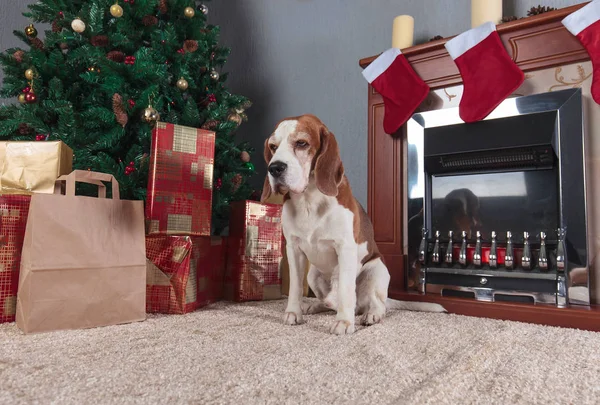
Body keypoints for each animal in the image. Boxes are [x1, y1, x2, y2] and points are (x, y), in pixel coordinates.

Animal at [260, 113, 442, 334]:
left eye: (301, 143)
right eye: (273, 147)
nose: (274, 168)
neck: (309, 200)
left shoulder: (345, 248)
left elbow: (346, 290)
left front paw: (344, 322)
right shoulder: (293, 249)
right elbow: (295, 286)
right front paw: (294, 312)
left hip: (377, 270)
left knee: (375, 303)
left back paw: (371, 314)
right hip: (312, 274)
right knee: (330, 300)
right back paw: (315, 305)